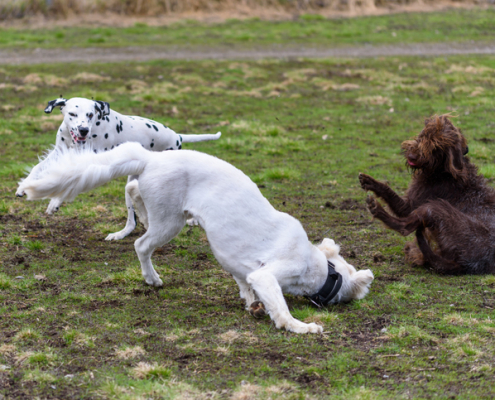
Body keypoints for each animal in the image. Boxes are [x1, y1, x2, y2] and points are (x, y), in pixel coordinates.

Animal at [15, 97, 221, 241]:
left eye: (90, 115)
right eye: (72, 114)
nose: (83, 130)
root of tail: (177, 136)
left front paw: (55, 202)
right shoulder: (59, 154)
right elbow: (37, 168)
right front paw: (23, 187)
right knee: (132, 222)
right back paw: (121, 234)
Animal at [18, 144, 376, 334]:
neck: (321, 267)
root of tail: (152, 157)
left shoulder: (242, 269)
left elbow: (245, 286)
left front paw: (252, 305)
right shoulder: (269, 274)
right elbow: (282, 309)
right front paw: (302, 327)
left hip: (161, 207)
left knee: (132, 189)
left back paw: (139, 218)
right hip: (170, 222)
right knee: (141, 244)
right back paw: (151, 278)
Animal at [360, 114, 495, 274]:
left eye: (436, 147)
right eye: (422, 135)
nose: (412, 156)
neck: (441, 171)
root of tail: (467, 265)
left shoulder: (412, 206)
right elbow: (386, 190)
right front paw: (370, 182)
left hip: (436, 208)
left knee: (405, 228)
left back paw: (377, 209)